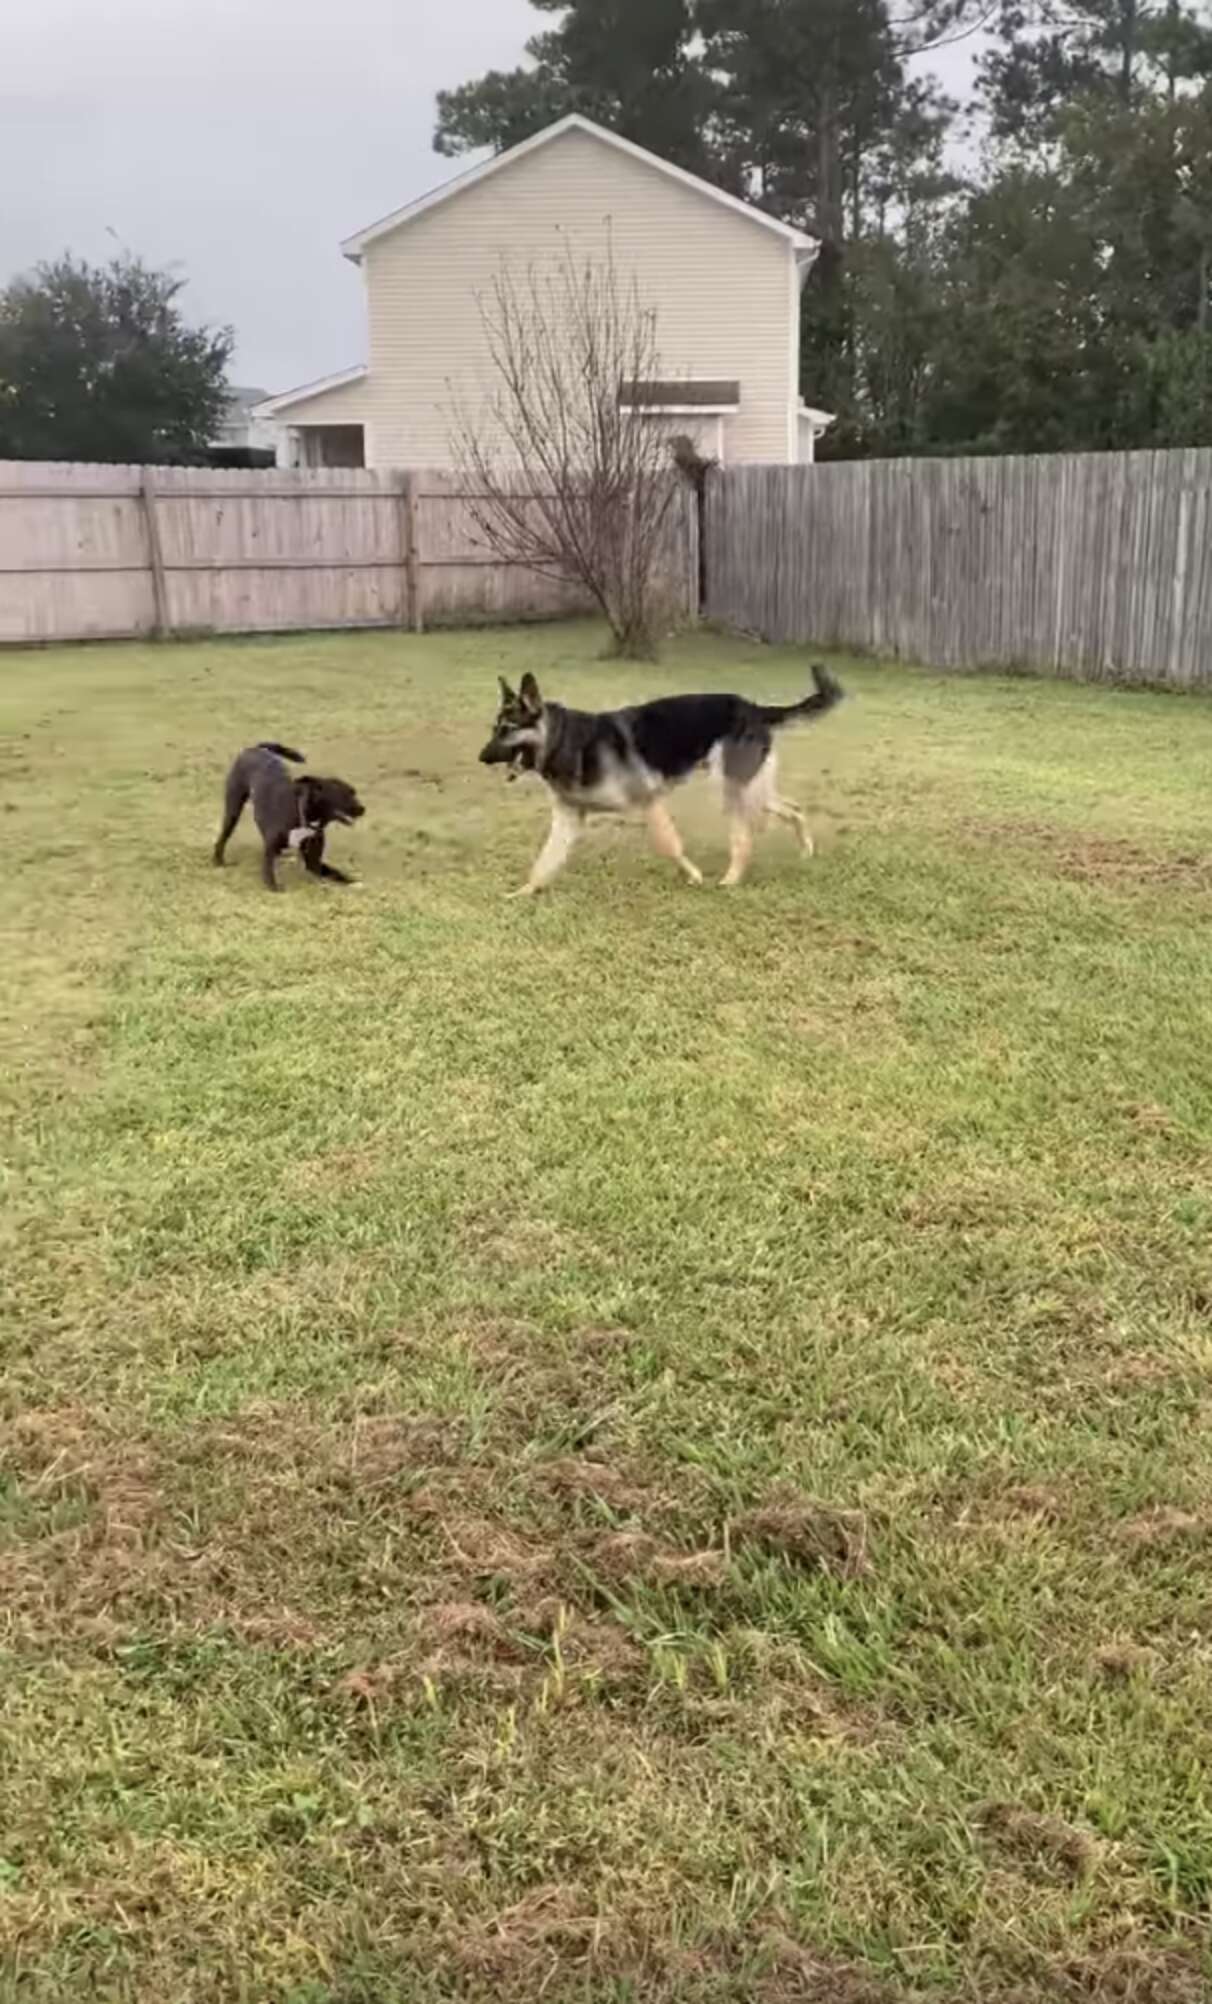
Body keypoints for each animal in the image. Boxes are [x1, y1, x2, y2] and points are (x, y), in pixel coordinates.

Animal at [212, 741, 364, 889]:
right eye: (343, 795)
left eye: (354, 792)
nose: (363, 809)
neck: (304, 818)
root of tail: (256, 748)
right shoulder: (270, 851)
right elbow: (269, 872)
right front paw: (274, 886)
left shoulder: (313, 861)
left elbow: (334, 872)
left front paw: (351, 881)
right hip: (233, 810)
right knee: (222, 838)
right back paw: (219, 861)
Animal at [478, 665, 841, 893]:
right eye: (494, 729)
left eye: (507, 730)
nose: (481, 758)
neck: (565, 741)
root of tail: (754, 708)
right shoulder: (568, 818)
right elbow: (544, 861)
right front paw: (523, 892)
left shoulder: (648, 800)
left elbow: (669, 845)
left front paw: (694, 876)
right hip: (750, 786)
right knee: (793, 808)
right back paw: (806, 853)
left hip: (731, 788)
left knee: (744, 838)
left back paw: (731, 879)